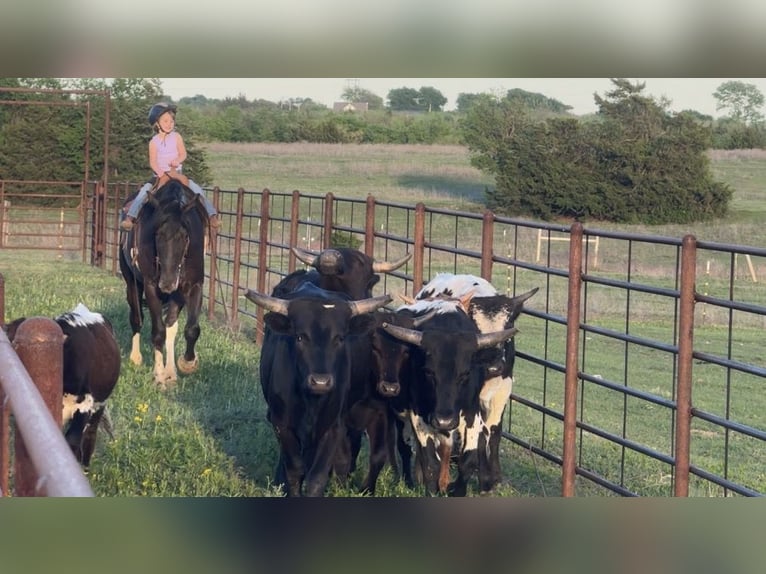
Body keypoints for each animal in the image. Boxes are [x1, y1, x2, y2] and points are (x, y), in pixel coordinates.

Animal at [118, 179, 207, 388]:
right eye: (157, 234)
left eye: (185, 236)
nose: (167, 282)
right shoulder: (151, 287)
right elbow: (158, 331)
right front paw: (158, 376)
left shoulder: (194, 285)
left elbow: (191, 329)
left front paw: (186, 364)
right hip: (132, 282)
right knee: (137, 318)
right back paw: (136, 358)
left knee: (171, 326)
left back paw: (171, 372)